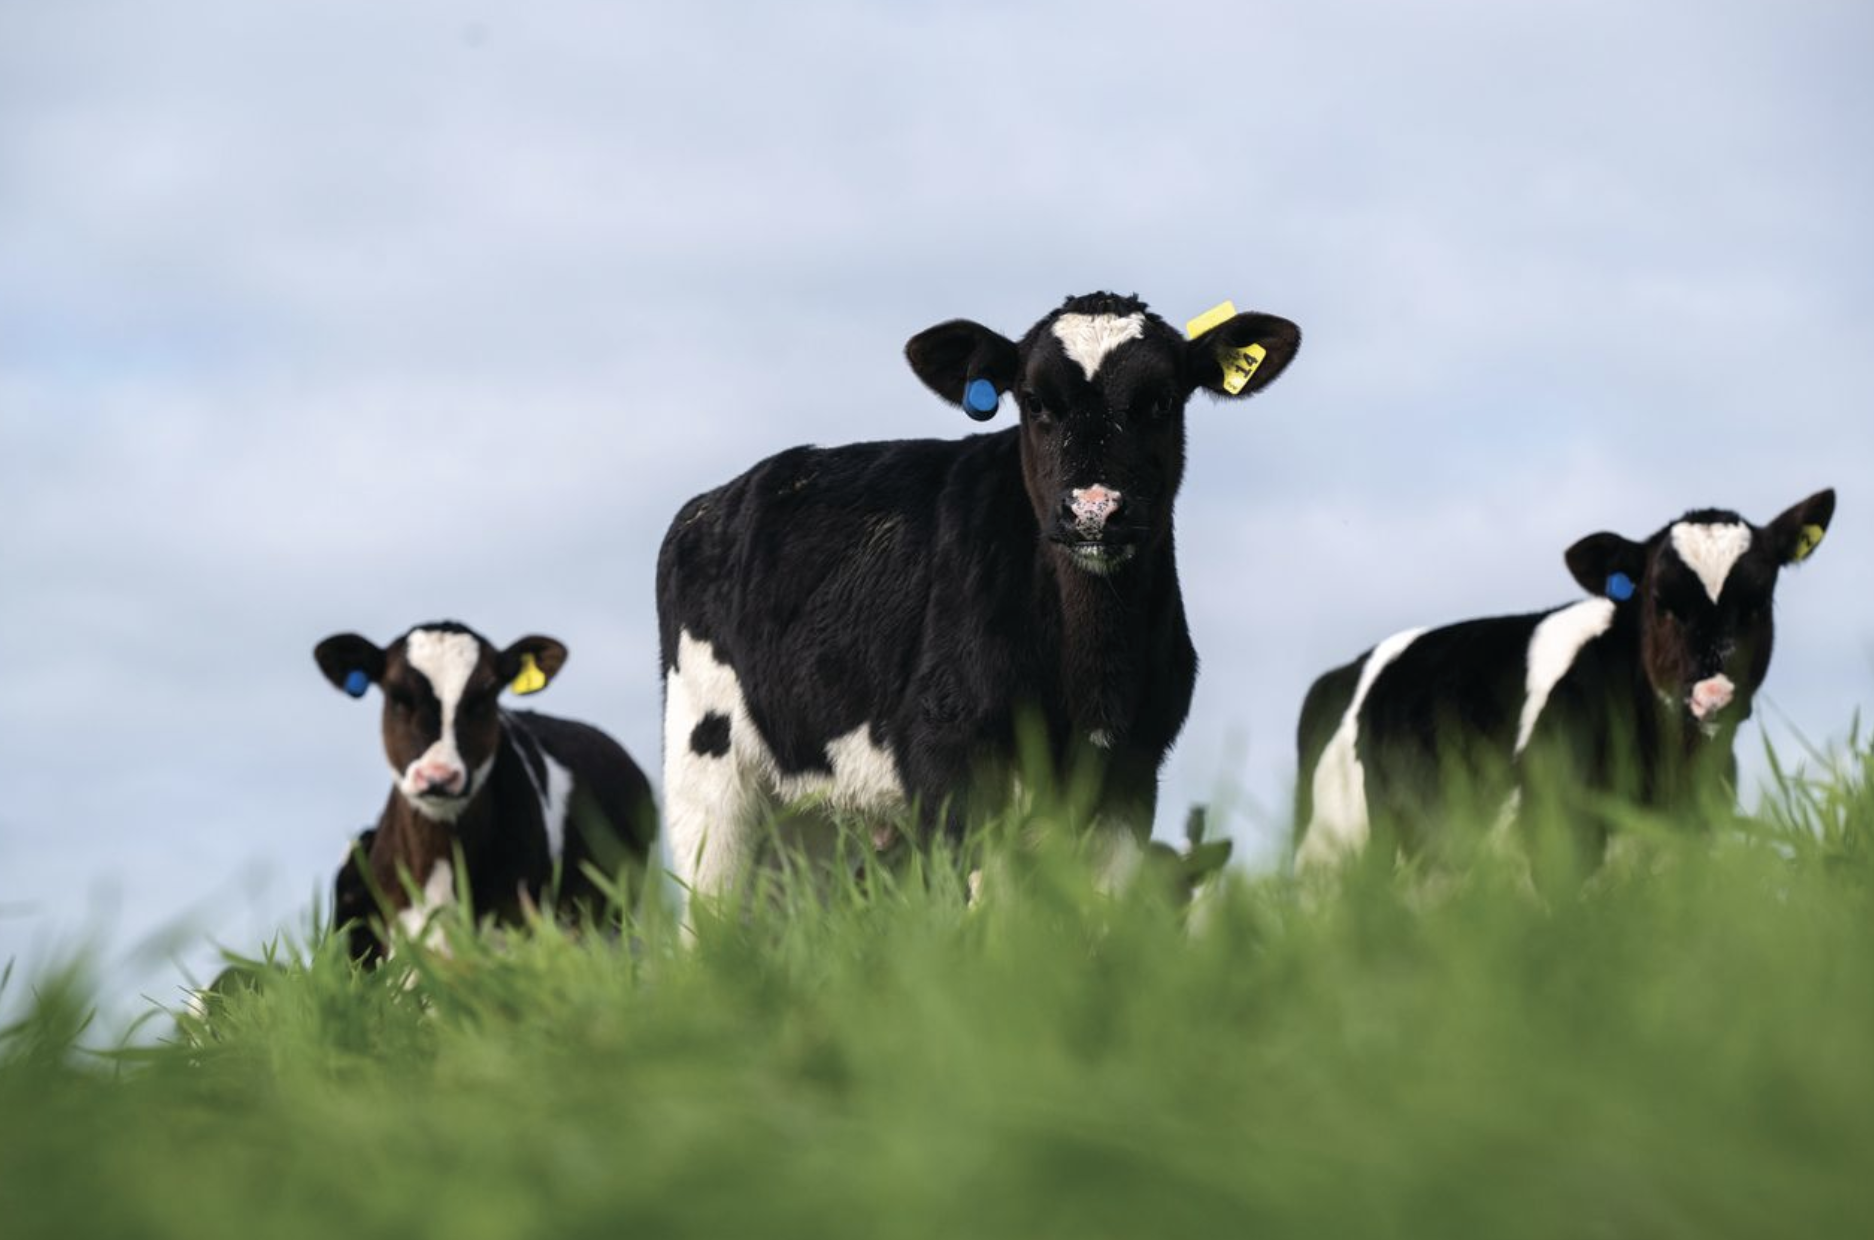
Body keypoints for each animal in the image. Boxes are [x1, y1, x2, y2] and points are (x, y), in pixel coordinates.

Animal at [656, 291, 1303, 899]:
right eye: (1035, 401)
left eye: (1162, 400)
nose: (1093, 510)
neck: (1087, 679)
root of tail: (714, 502)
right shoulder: (949, 763)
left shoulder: (1131, 774)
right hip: (706, 773)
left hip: (812, 815)